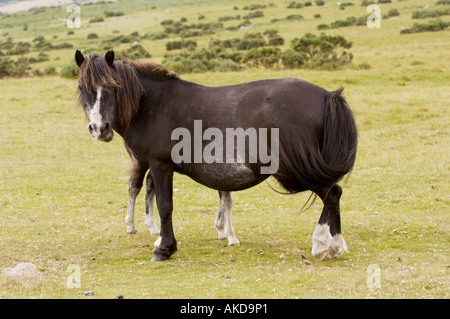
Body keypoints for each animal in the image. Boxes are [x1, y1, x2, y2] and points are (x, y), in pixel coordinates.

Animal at [76, 50, 358, 262]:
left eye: (113, 87)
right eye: (82, 87)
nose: (99, 128)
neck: (153, 105)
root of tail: (326, 95)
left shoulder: (160, 165)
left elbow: (165, 205)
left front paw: (165, 248)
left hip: (297, 169)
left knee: (332, 193)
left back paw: (322, 243)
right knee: (334, 193)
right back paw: (336, 244)